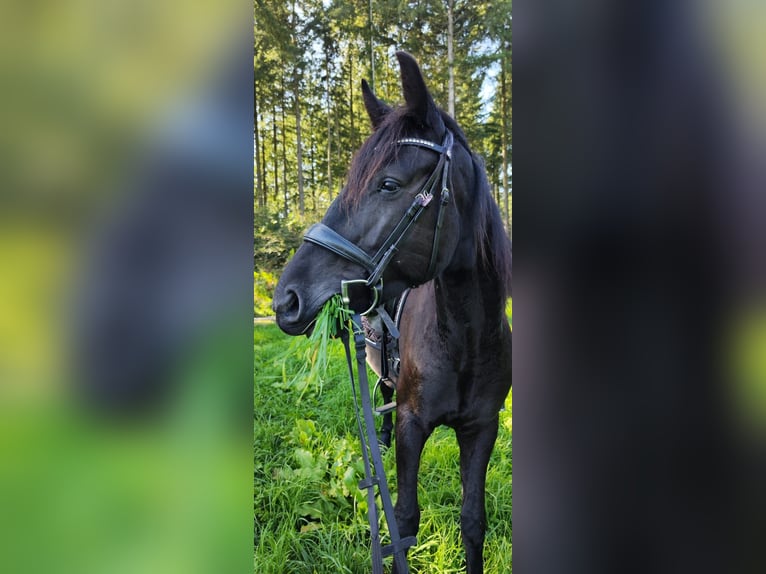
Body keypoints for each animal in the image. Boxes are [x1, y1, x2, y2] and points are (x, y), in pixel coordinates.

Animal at [272, 51, 512, 572]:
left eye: (388, 184)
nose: (286, 300)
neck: (464, 339)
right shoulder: (410, 424)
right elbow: (402, 522)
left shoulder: (482, 428)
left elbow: (473, 522)